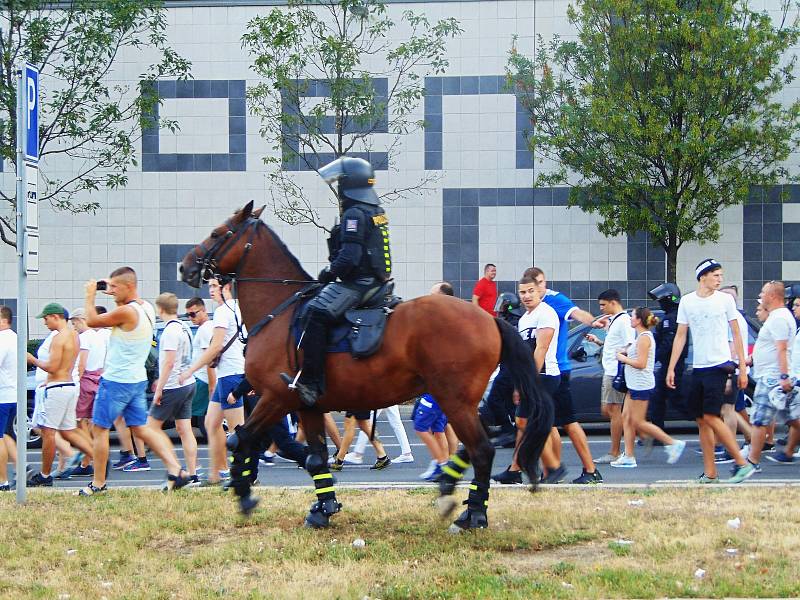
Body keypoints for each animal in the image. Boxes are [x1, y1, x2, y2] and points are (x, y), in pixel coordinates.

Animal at [180, 202, 552, 528]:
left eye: (218, 233)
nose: (185, 266)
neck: (280, 311)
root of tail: (489, 319)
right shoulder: (307, 406)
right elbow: (316, 457)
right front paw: (323, 509)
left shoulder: (276, 397)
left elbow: (240, 439)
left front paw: (244, 495)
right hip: (463, 402)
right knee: (475, 444)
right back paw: (451, 489)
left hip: (455, 401)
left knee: (482, 450)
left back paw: (472, 513)